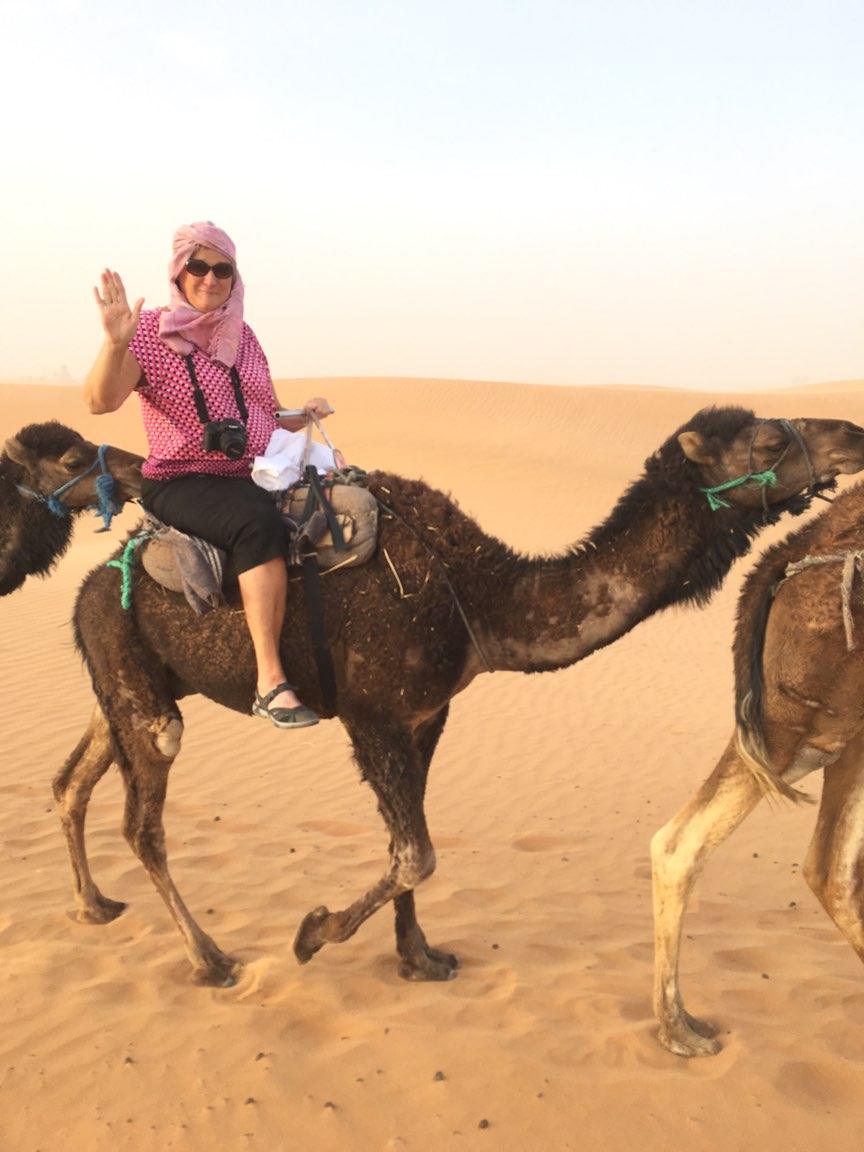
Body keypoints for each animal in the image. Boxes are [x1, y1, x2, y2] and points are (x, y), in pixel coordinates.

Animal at [6, 407, 864, 990]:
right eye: (768, 443)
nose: (853, 432)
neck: (479, 599)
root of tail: (93, 582)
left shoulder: (426, 716)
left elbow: (413, 839)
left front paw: (418, 956)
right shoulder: (373, 717)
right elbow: (414, 851)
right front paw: (314, 933)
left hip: (123, 678)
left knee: (75, 779)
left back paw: (95, 906)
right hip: (139, 685)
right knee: (144, 819)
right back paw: (209, 958)